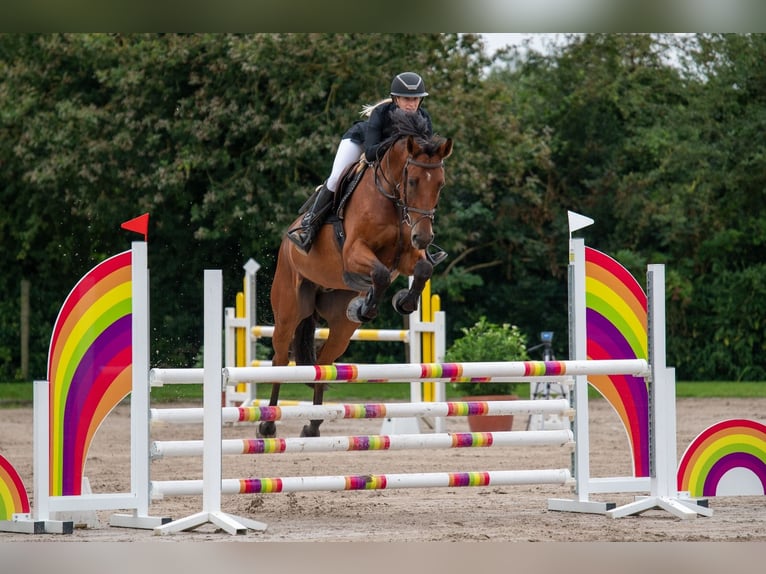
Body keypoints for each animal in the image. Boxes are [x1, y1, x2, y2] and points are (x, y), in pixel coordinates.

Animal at [260, 111, 453, 438]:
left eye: (440, 185)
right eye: (413, 181)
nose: (424, 237)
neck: (392, 199)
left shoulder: (406, 255)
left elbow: (423, 268)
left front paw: (402, 302)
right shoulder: (353, 252)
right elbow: (380, 273)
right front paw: (369, 305)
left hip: (341, 327)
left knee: (325, 362)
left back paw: (313, 426)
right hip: (288, 308)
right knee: (281, 359)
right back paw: (268, 424)